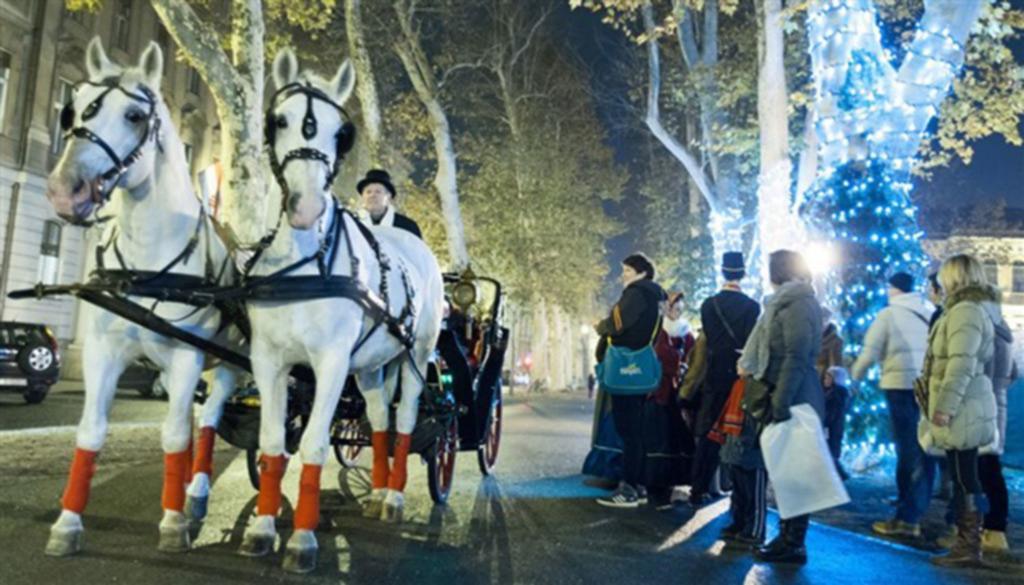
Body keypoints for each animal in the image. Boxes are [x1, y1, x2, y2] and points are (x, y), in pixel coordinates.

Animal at [41, 37, 239, 557]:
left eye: (133, 116)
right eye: (72, 108)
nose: (65, 191)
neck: (148, 266)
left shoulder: (189, 355)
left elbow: (174, 433)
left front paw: (171, 522)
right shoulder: (103, 350)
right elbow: (91, 430)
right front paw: (67, 523)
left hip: (228, 364)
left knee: (207, 420)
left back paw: (194, 496)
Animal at [241, 49, 446, 573]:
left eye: (341, 132)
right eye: (279, 120)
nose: (306, 207)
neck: (303, 266)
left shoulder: (331, 362)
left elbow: (313, 444)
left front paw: (302, 540)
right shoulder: (269, 361)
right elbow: (272, 445)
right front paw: (262, 528)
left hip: (417, 353)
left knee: (405, 419)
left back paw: (393, 498)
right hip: (373, 365)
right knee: (379, 421)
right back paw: (377, 492)